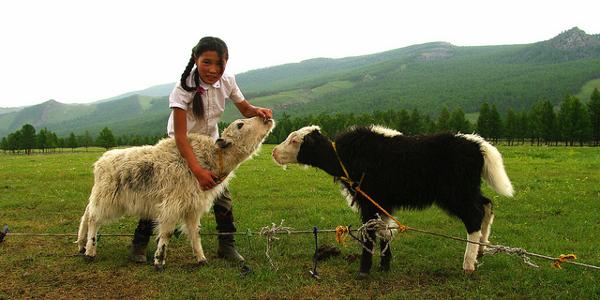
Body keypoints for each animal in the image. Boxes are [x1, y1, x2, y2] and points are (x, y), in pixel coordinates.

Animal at [75, 117, 274, 270]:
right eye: (240, 125)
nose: (266, 118)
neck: (210, 160)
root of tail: (101, 161)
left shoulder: (193, 207)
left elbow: (195, 233)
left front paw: (201, 259)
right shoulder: (172, 205)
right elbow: (167, 233)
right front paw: (159, 261)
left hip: (101, 197)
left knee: (86, 214)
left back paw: (81, 245)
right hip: (107, 199)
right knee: (93, 219)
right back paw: (90, 251)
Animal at [274, 124, 512, 276]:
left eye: (295, 140)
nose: (274, 152)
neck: (343, 158)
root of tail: (477, 145)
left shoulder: (369, 202)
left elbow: (370, 231)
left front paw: (364, 270)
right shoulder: (383, 204)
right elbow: (385, 230)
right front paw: (384, 265)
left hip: (455, 194)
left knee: (474, 217)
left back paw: (468, 264)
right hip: (468, 190)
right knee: (486, 205)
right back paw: (480, 251)